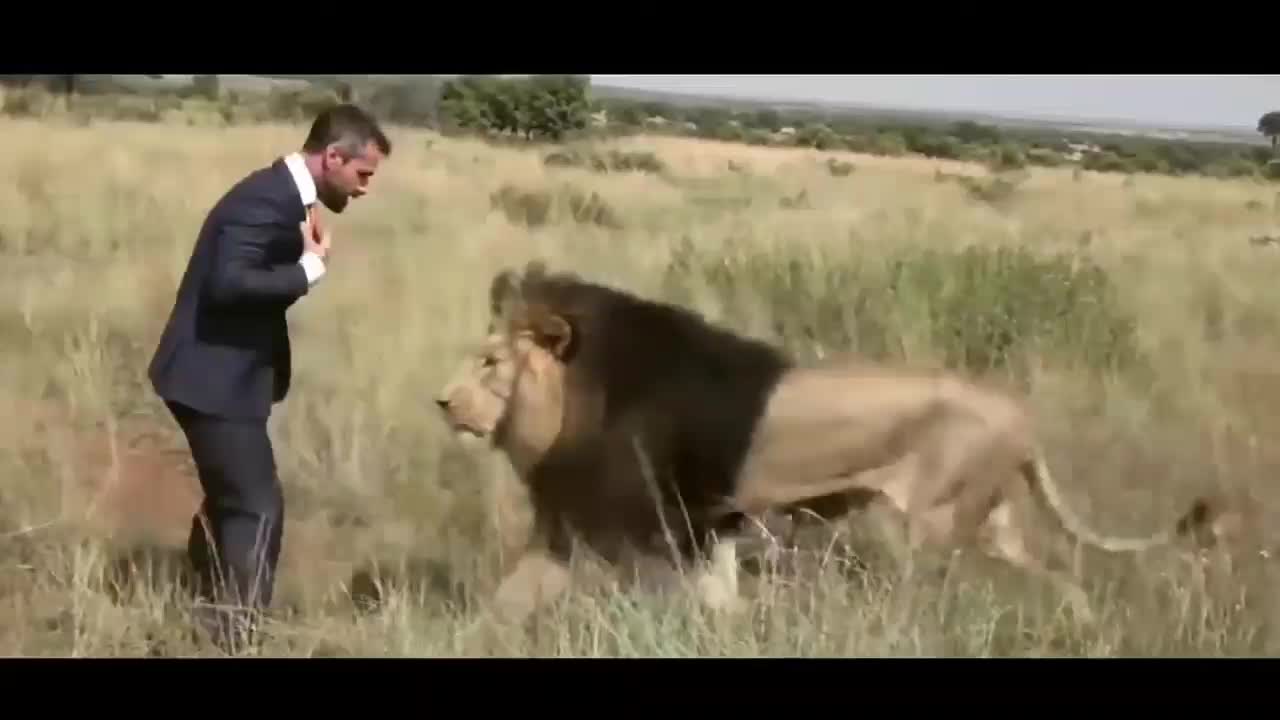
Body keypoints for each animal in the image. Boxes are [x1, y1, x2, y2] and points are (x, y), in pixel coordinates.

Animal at [437, 260, 1218, 620]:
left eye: (490, 362)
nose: (442, 402)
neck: (573, 404)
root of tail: (1021, 419)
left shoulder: (675, 529)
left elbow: (706, 603)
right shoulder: (574, 530)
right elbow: (506, 604)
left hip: (928, 525)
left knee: (933, 592)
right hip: (992, 521)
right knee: (1060, 574)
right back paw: (1083, 625)